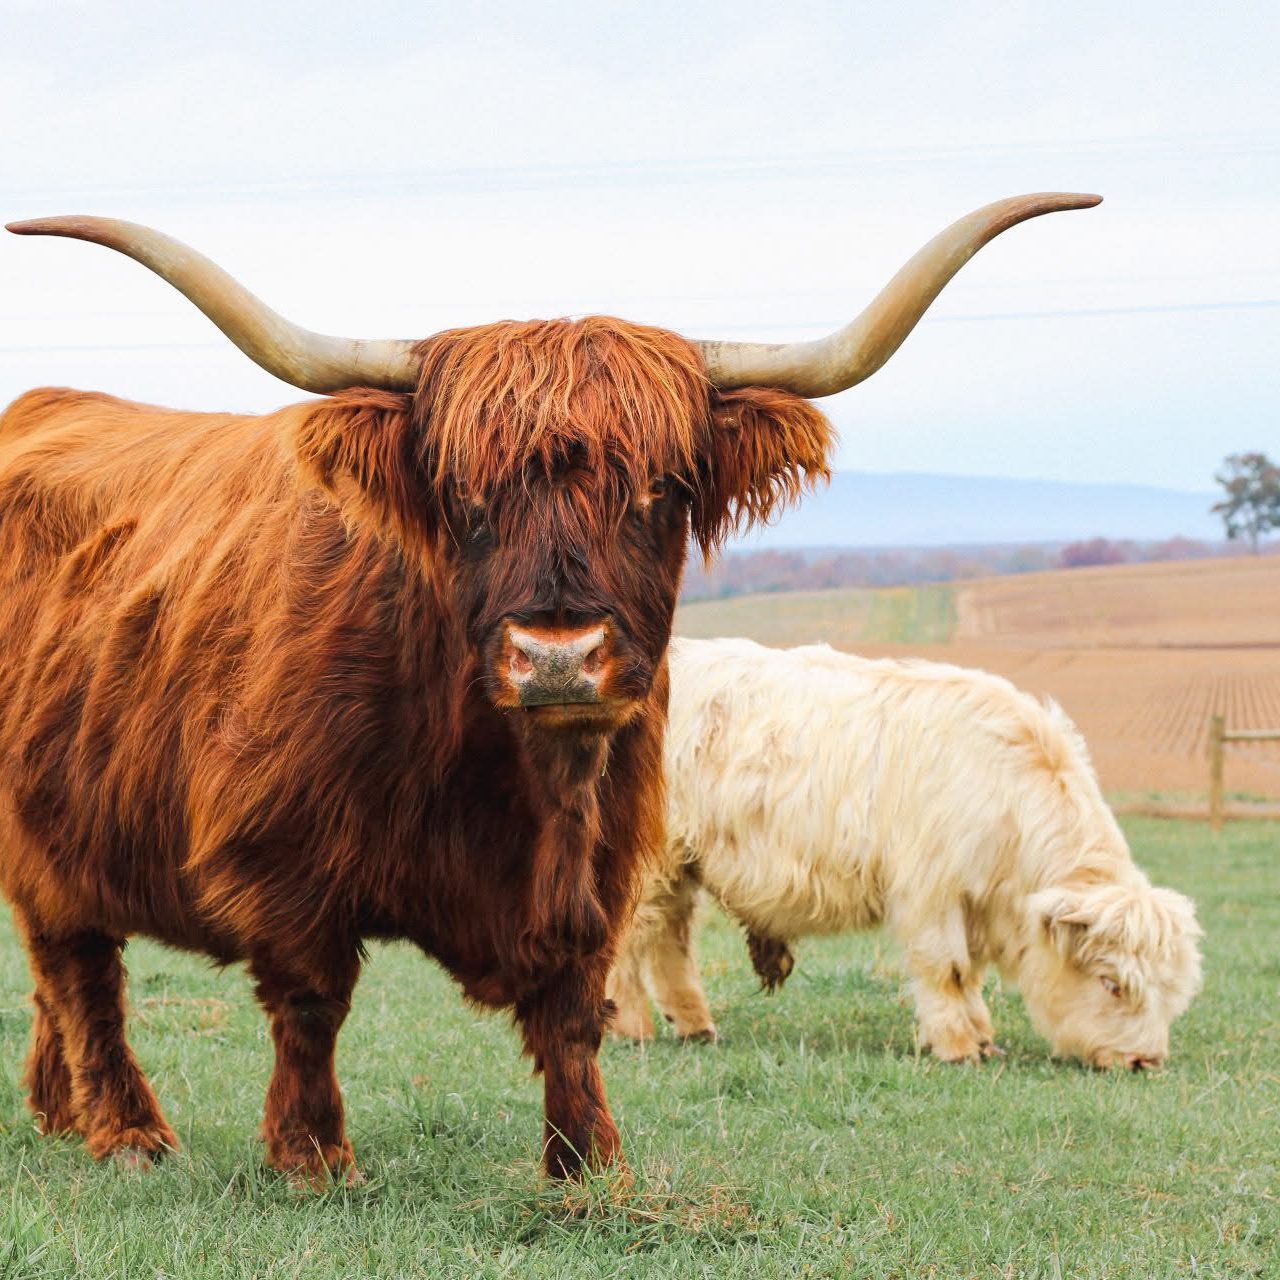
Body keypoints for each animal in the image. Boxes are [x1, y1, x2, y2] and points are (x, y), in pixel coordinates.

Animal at [0, 194, 1099, 1182]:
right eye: (463, 494)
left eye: (661, 488)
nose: (559, 655)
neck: (501, 776)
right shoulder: (282, 859)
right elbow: (311, 1001)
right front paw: (312, 1158)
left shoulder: (603, 856)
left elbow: (576, 1009)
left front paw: (589, 1165)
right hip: (52, 834)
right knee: (81, 968)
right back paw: (127, 1130)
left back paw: (59, 1112)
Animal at [610, 638, 1202, 1071]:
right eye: (1111, 983)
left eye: (1170, 992)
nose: (1145, 1061)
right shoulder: (932, 891)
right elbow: (947, 969)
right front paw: (959, 1047)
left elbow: (971, 975)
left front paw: (983, 1037)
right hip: (652, 861)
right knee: (631, 940)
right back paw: (629, 1026)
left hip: (681, 866)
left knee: (669, 941)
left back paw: (695, 1026)